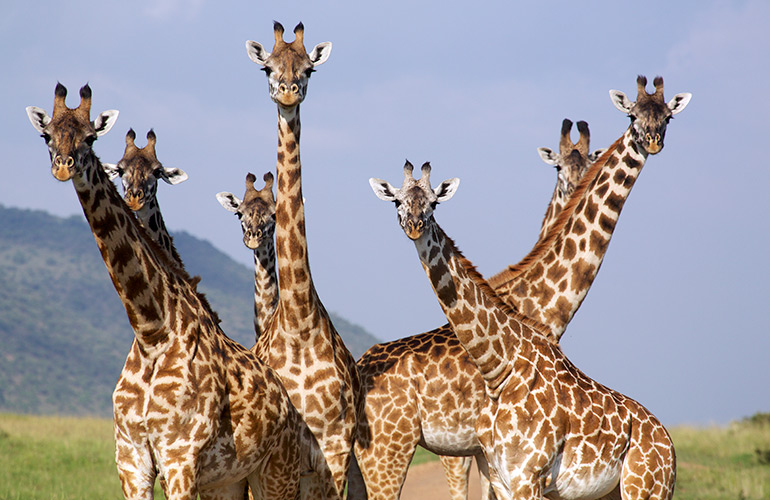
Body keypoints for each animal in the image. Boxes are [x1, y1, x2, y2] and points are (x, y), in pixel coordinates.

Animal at [352, 119, 604, 500]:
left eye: (434, 204)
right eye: (396, 200)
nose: (414, 225)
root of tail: (357, 367)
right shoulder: (475, 445)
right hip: (388, 445)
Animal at [370, 161, 677, 500]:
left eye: (434, 203)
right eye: (397, 201)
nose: (415, 225)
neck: (496, 367)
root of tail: (668, 443)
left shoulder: (527, 476)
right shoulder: (501, 477)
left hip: (645, 488)